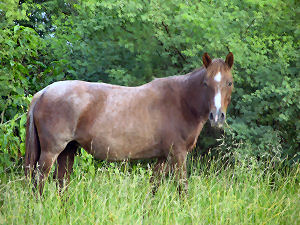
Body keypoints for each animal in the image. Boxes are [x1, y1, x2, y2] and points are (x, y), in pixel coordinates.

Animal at [24, 52, 234, 193]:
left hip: (68, 150)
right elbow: (183, 188)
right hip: (51, 152)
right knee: (39, 181)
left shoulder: (163, 157)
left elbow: (153, 188)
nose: (217, 117)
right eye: (205, 83)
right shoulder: (178, 154)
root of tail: (43, 92)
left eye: (229, 83)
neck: (181, 102)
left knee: (62, 183)